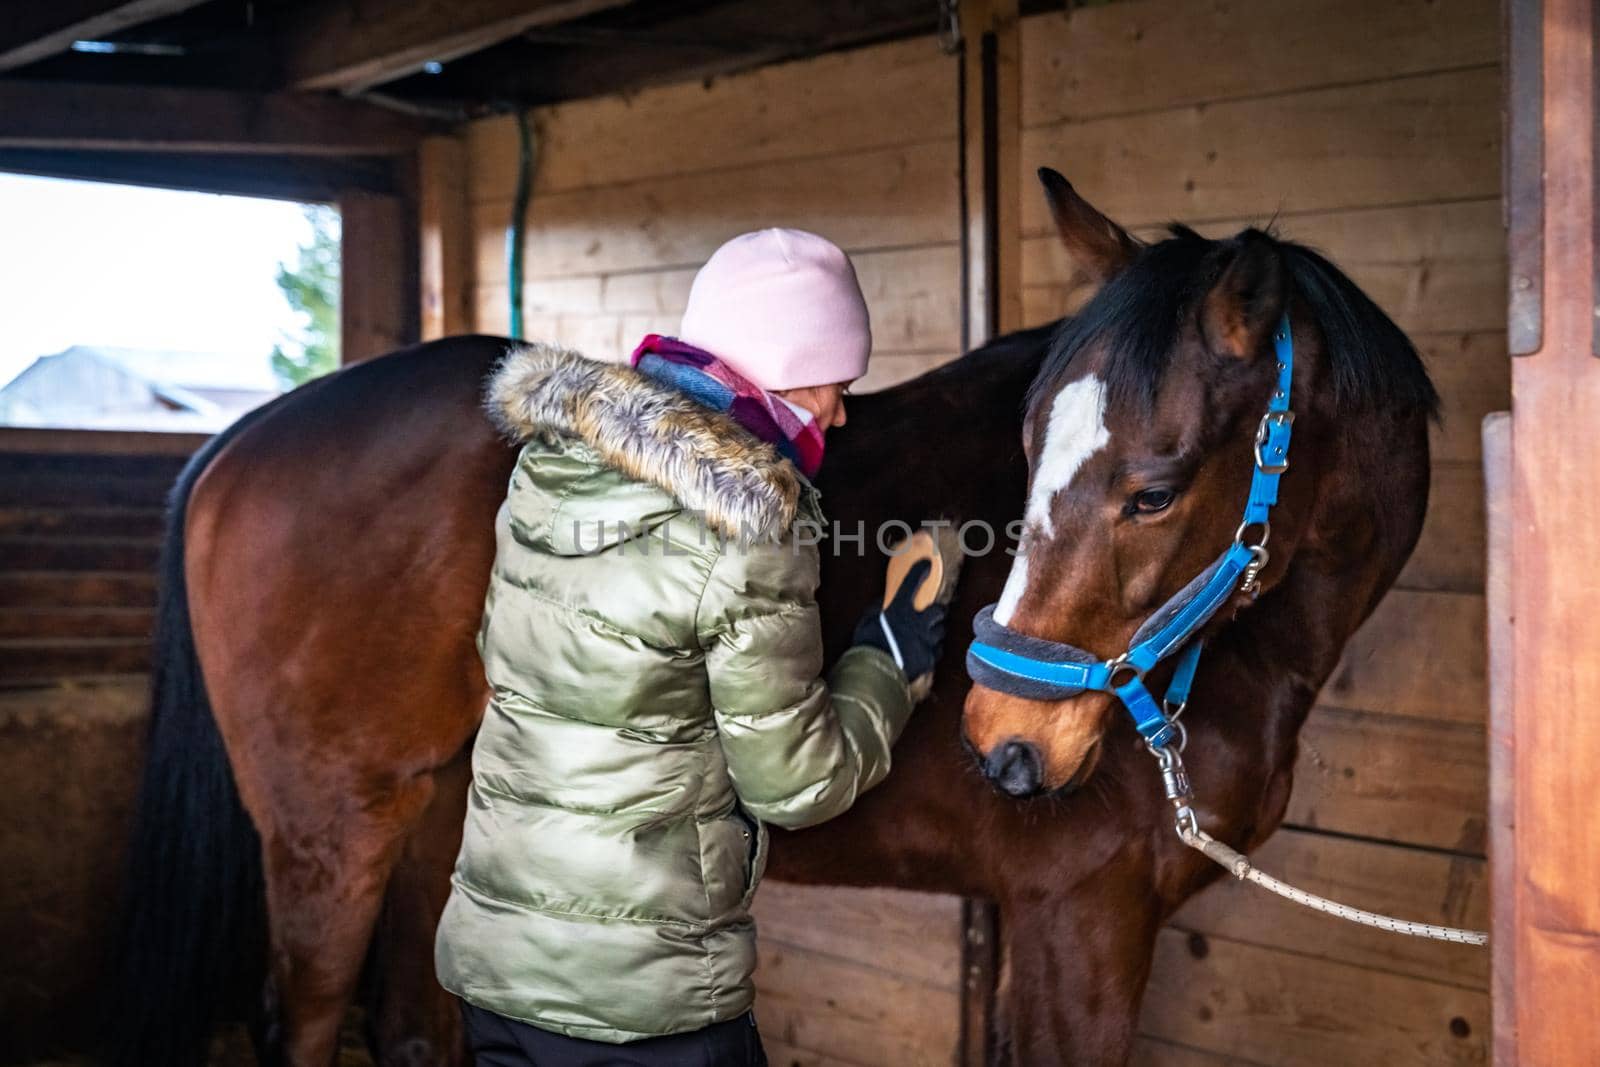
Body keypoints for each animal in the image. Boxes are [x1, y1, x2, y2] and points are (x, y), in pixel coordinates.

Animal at [112, 171, 1440, 1062]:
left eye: (1154, 489)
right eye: (1026, 450)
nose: (1004, 737)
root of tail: (240, 439)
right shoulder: (1080, 918)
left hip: (445, 818)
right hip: (330, 832)